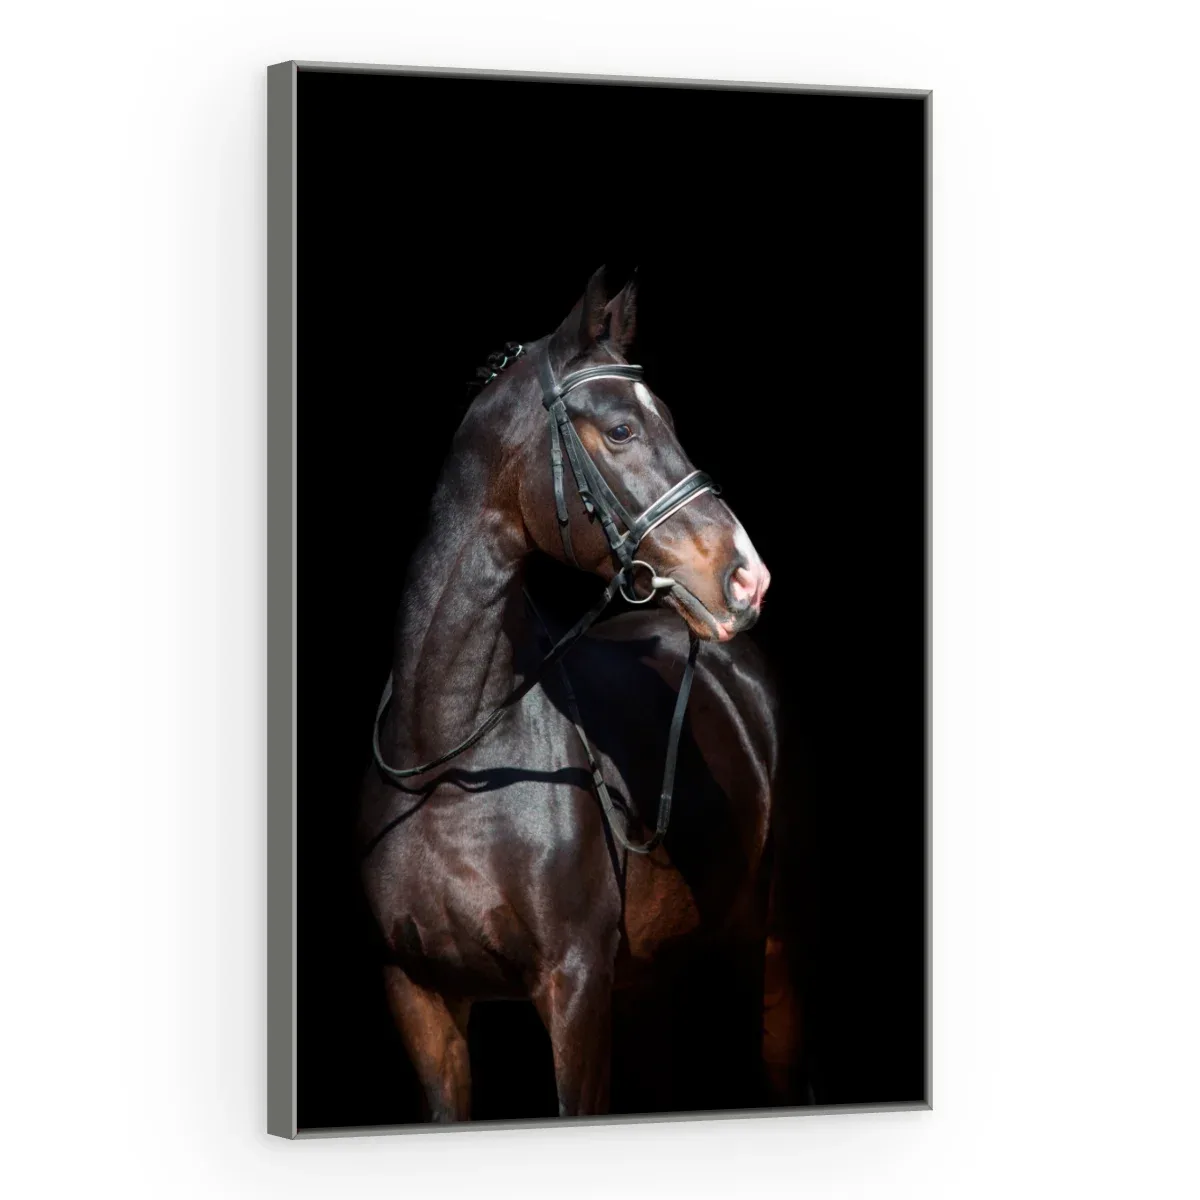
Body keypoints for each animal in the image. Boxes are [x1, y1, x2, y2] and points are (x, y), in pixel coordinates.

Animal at [356, 268, 798, 1121]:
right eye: (621, 430)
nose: (746, 577)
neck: (448, 762)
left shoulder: (576, 989)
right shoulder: (419, 997)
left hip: (762, 946)